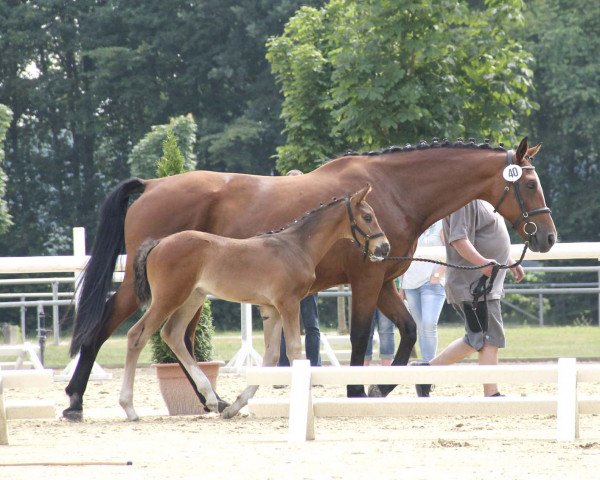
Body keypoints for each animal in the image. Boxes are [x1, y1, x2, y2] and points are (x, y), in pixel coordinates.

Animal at [118, 185, 390, 420]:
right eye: (367, 216)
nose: (384, 247)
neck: (296, 246)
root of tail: (158, 244)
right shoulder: (288, 303)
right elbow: (294, 350)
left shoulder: (271, 309)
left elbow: (271, 356)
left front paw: (235, 406)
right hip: (169, 298)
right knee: (137, 335)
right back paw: (129, 407)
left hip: (192, 297)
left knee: (172, 334)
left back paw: (213, 400)